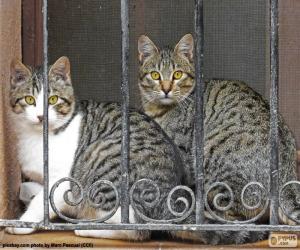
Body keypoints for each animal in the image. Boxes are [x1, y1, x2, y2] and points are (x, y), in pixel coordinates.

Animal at [138, 34, 300, 228]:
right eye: (155, 75)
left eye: (178, 74)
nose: (166, 89)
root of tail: (285, 174)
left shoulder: (183, 154)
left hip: (211, 157)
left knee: (238, 216)